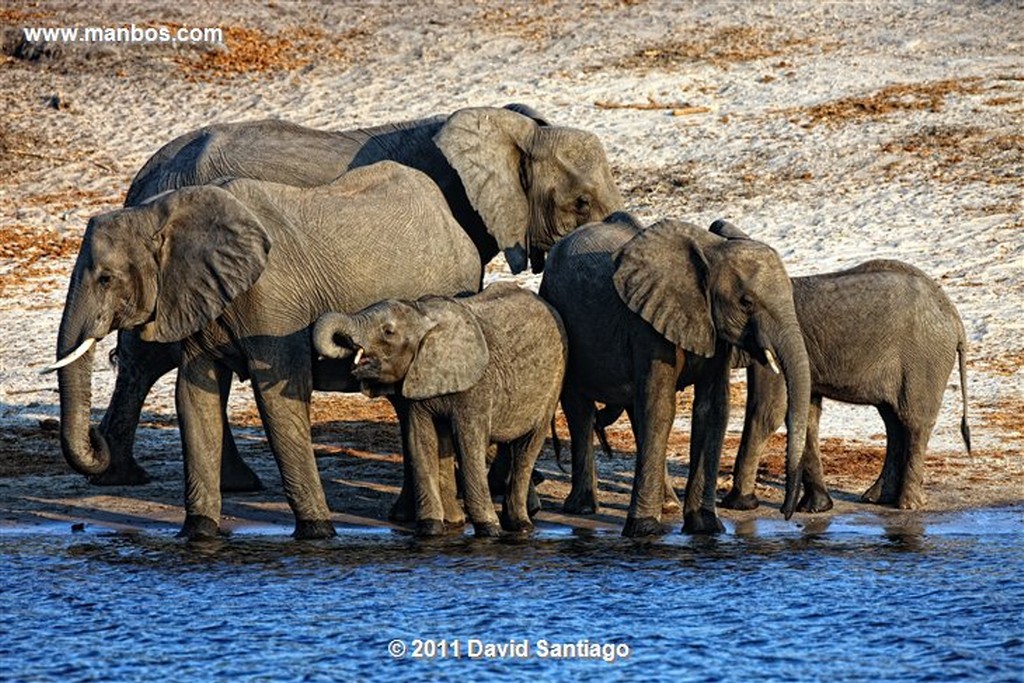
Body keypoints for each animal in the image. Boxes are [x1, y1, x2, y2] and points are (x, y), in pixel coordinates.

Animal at [44, 161, 483, 540]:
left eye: (105, 278)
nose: (97, 439)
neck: (160, 212)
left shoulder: (273, 304)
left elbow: (277, 402)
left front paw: (318, 533)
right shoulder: (196, 293)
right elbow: (194, 399)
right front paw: (198, 533)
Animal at [311, 284, 569, 540]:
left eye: (388, 331)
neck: (423, 316)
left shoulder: (476, 385)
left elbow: (468, 444)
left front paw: (489, 531)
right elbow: (420, 441)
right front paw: (430, 529)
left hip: (554, 381)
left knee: (528, 447)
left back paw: (521, 526)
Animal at [540, 210, 811, 536]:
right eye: (746, 302)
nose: (787, 513)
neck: (713, 251)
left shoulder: (711, 326)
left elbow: (712, 409)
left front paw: (705, 526)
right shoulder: (647, 325)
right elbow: (660, 407)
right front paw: (643, 529)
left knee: (635, 411)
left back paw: (667, 503)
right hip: (559, 316)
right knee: (580, 408)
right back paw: (581, 508)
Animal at [716, 222, 970, 509]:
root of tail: (954, 317)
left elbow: (767, 412)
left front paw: (735, 504)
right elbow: (807, 415)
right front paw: (815, 508)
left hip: (924, 358)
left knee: (914, 421)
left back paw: (907, 504)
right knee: (893, 421)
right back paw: (877, 498)